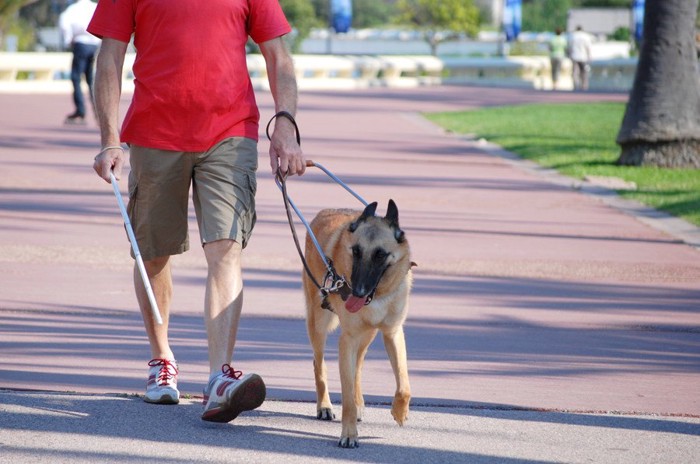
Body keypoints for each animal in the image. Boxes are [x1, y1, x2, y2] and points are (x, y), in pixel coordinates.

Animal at [304, 199, 412, 450]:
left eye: (380, 255)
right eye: (356, 251)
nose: (358, 292)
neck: (379, 295)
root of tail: (325, 212)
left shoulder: (393, 333)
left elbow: (404, 384)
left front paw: (399, 411)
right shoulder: (347, 341)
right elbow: (346, 399)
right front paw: (349, 434)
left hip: (368, 335)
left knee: (358, 368)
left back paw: (359, 399)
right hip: (319, 325)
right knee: (319, 365)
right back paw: (324, 406)